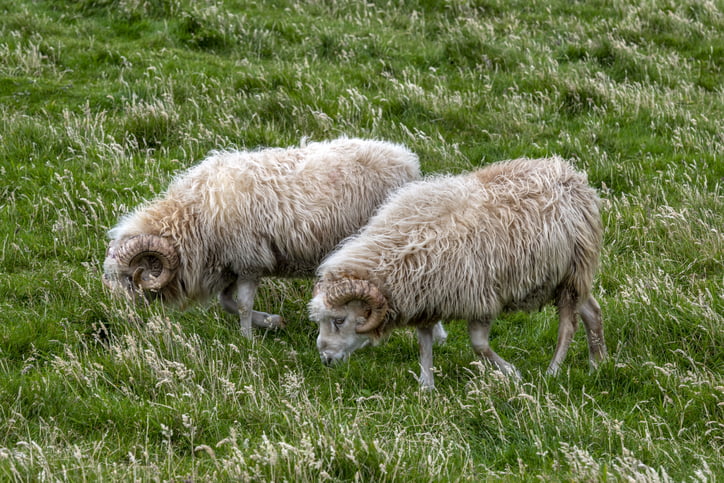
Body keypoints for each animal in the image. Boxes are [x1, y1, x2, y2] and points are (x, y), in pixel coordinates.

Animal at [104, 138, 428, 338]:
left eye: (128, 277)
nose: (122, 318)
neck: (193, 216)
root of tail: (406, 159)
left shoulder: (249, 261)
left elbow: (242, 305)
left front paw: (247, 339)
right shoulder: (232, 265)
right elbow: (226, 302)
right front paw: (272, 323)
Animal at [310, 157, 604, 392]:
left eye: (339, 320)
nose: (325, 359)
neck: (400, 251)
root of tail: (569, 174)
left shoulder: (482, 298)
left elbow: (479, 345)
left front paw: (513, 373)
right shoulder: (427, 298)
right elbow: (424, 341)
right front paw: (426, 385)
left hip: (572, 273)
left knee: (568, 325)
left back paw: (553, 371)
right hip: (563, 278)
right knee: (592, 311)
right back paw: (597, 363)